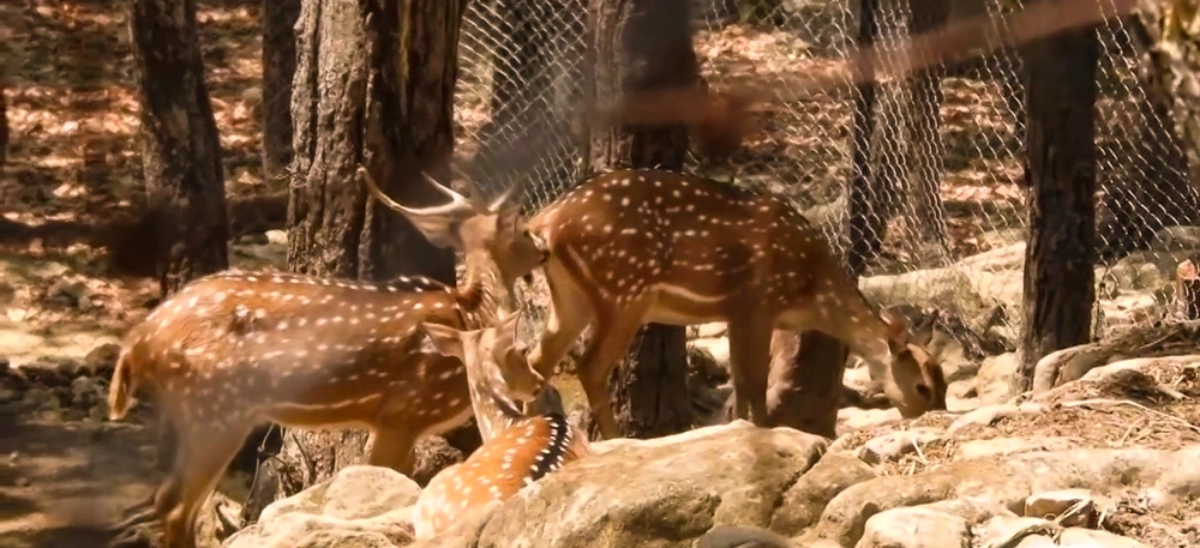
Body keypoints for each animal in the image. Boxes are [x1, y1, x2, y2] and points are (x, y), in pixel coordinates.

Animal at [104, 167, 547, 548]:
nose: (543, 249)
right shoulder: (403, 413)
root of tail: (136, 342)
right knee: (175, 504)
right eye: (523, 230)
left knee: (170, 499)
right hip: (214, 411)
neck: (471, 316)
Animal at [523, 168, 948, 440]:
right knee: (589, 365)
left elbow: (741, 384)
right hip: (623, 291)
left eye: (943, 383)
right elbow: (753, 382)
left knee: (537, 360)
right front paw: (762, 432)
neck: (810, 290)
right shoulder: (756, 303)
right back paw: (614, 439)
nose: (935, 415)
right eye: (923, 386)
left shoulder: (734, 312)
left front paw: (739, 429)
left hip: (571, 297)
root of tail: (544, 220)